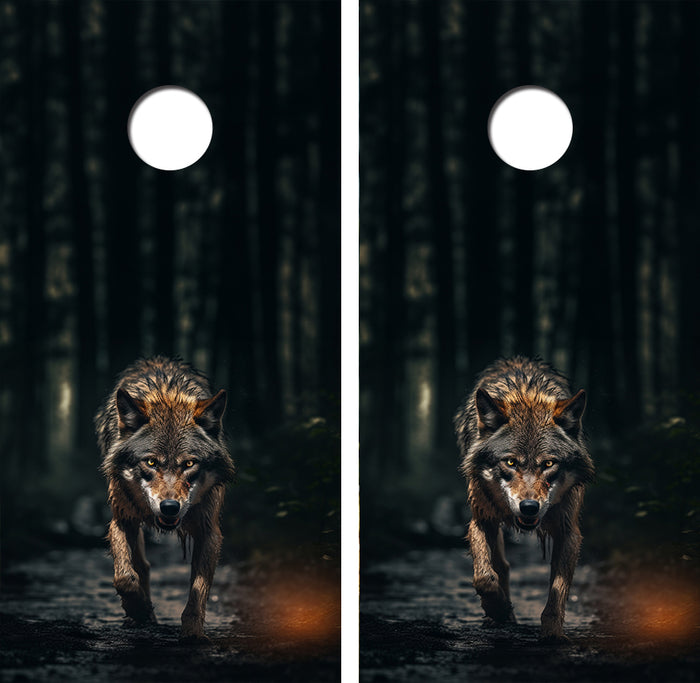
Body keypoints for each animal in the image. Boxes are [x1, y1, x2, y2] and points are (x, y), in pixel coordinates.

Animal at [96, 356, 235, 640]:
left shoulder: (209, 530)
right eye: (151, 462)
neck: (167, 394)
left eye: (190, 463)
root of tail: (156, 360)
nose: (169, 507)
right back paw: (142, 615)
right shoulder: (121, 520)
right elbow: (124, 578)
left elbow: (199, 589)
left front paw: (193, 634)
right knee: (143, 566)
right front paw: (138, 610)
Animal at [454, 356, 594, 640]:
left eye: (549, 463)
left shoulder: (568, 530)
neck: (526, 395)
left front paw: (552, 634)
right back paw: (501, 616)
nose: (529, 507)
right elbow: (484, 578)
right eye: (510, 462)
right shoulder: (481, 520)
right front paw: (498, 610)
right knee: (502, 566)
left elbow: (558, 589)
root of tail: (516, 360)